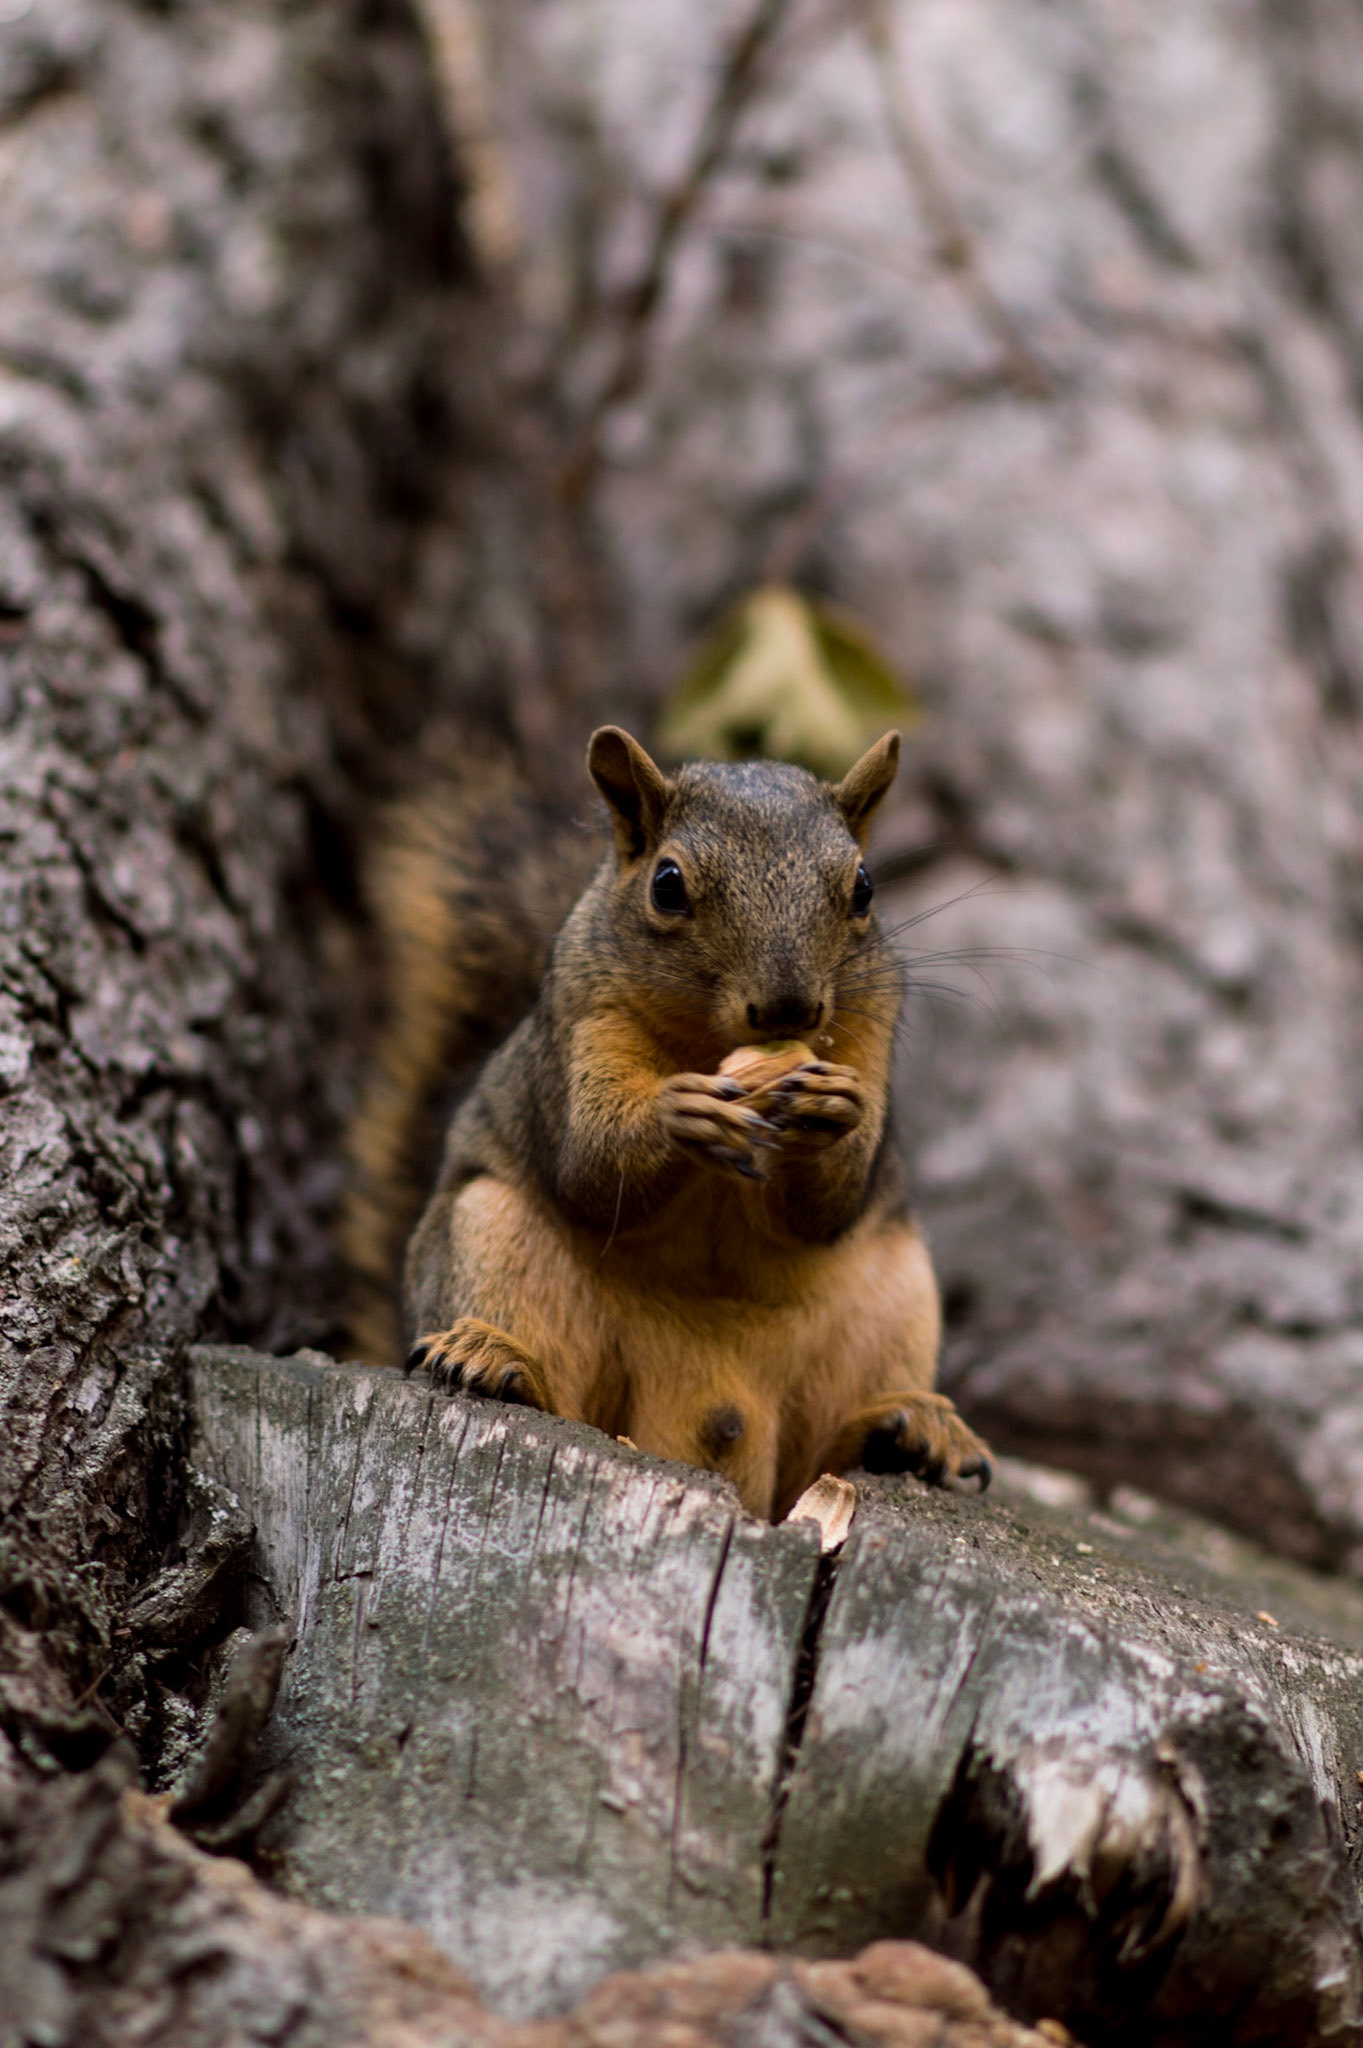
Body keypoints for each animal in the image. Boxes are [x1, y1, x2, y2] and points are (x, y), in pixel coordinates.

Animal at [341, 724, 990, 1522]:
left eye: (864, 885)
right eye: (667, 884)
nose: (789, 1010)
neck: (708, 1044)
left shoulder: (872, 1022)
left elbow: (828, 1207)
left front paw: (833, 1106)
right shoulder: (585, 1018)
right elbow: (592, 1163)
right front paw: (679, 1113)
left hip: (892, 1300)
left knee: (825, 1456)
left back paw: (910, 1429)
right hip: (493, 1236)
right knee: (554, 1393)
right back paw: (495, 1359)